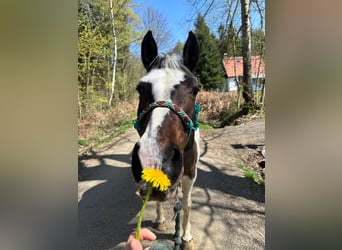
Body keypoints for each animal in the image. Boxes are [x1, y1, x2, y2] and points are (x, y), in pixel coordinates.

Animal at [131, 29, 200, 250]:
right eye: (141, 88)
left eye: (195, 89)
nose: (155, 159)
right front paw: (160, 220)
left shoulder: (190, 173)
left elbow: (187, 205)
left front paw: (186, 237)